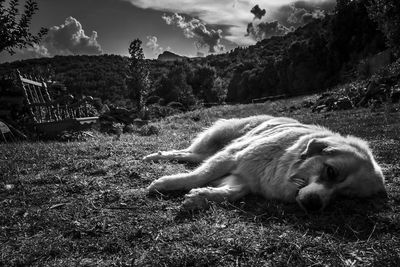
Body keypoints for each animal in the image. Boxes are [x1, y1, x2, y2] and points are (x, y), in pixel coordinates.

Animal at [143, 116, 384, 213]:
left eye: (344, 196)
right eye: (331, 171)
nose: (315, 205)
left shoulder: (245, 179)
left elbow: (233, 192)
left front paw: (201, 197)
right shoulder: (233, 155)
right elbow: (198, 176)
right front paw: (165, 183)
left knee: (193, 157)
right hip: (217, 141)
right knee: (191, 154)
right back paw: (156, 157)